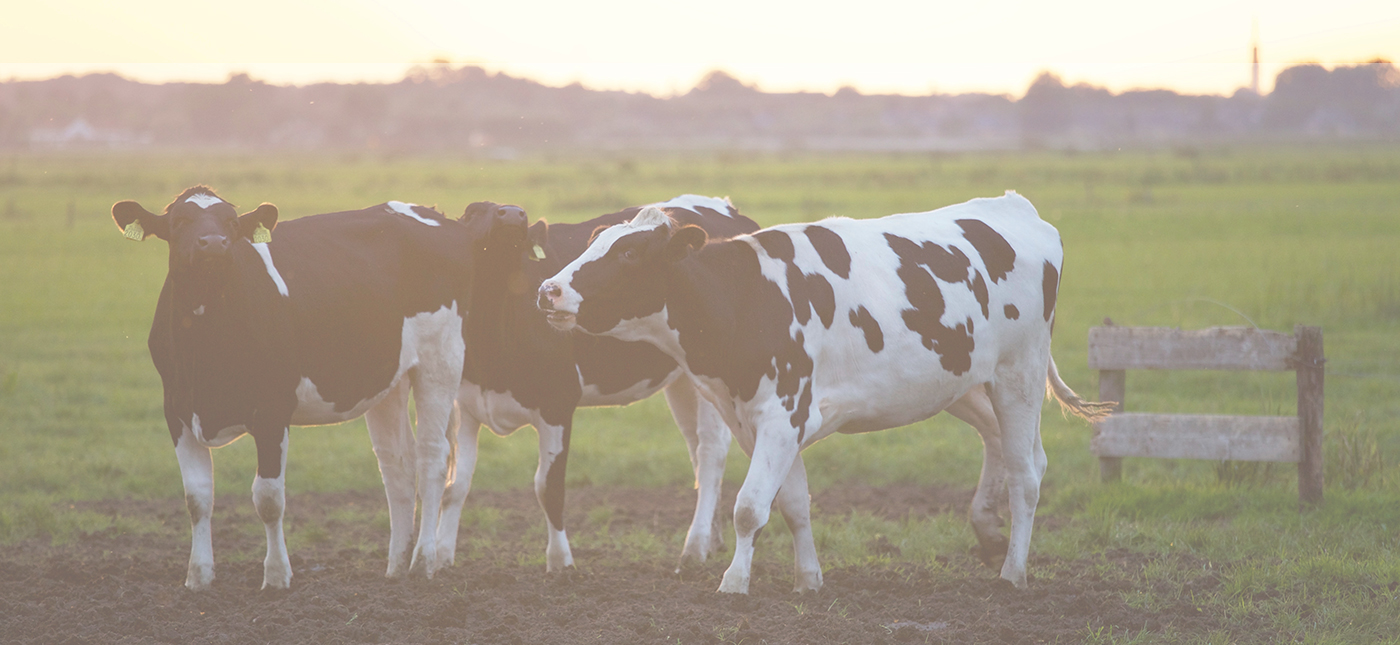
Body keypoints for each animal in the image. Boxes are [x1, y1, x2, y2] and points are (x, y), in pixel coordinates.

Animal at [114, 186, 470, 587]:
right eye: (179, 222)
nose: (214, 244)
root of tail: (431, 212)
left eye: (231, 223)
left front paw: (276, 576)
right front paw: (199, 576)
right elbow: (197, 498)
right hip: (389, 379)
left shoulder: (272, 411)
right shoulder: (176, 410)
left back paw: (423, 561)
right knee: (397, 465)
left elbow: (268, 498)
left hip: (441, 360)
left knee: (432, 458)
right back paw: (395, 566)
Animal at [436, 193, 761, 570]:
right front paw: (439, 558)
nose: (513, 214)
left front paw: (560, 562)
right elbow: (455, 485)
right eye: (472, 212)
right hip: (684, 380)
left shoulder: (558, 402)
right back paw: (712, 539)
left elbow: (549, 487)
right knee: (695, 448)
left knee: (710, 452)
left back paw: (694, 548)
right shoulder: (466, 404)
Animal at [534, 191, 1114, 593]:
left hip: (1019, 373)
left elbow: (749, 507)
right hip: (964, 381)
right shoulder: (762, 420)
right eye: (594, 243)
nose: (548, 290)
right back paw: (989, 534)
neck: (746, 297)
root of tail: (1016, 207)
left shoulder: (782, 413)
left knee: (1026, 474)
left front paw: (734, 582)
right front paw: (807, 579)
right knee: (1010, 448)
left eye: (630, 254)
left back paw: (1013, 571)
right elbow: (792, 504)